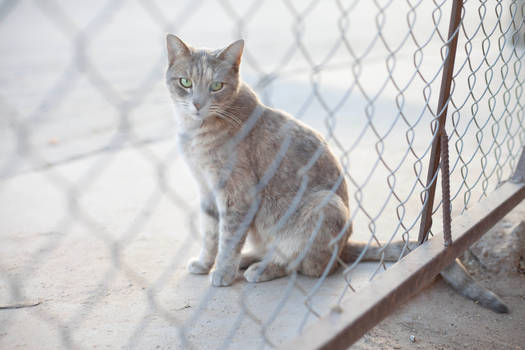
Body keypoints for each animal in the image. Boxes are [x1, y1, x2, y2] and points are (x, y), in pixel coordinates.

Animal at [165, 34, 508, 314]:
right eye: (185, 83)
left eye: (216, 86)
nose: (197, 104)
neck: (195, 131)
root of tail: (345, 247)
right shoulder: (206, 190)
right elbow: (212, 233)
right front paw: (206, 262)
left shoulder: (237, 195)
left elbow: (229, 237)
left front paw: (222, 271)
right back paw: (251, 258)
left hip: (324, 205)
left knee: (305, 265)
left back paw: (262, 267)